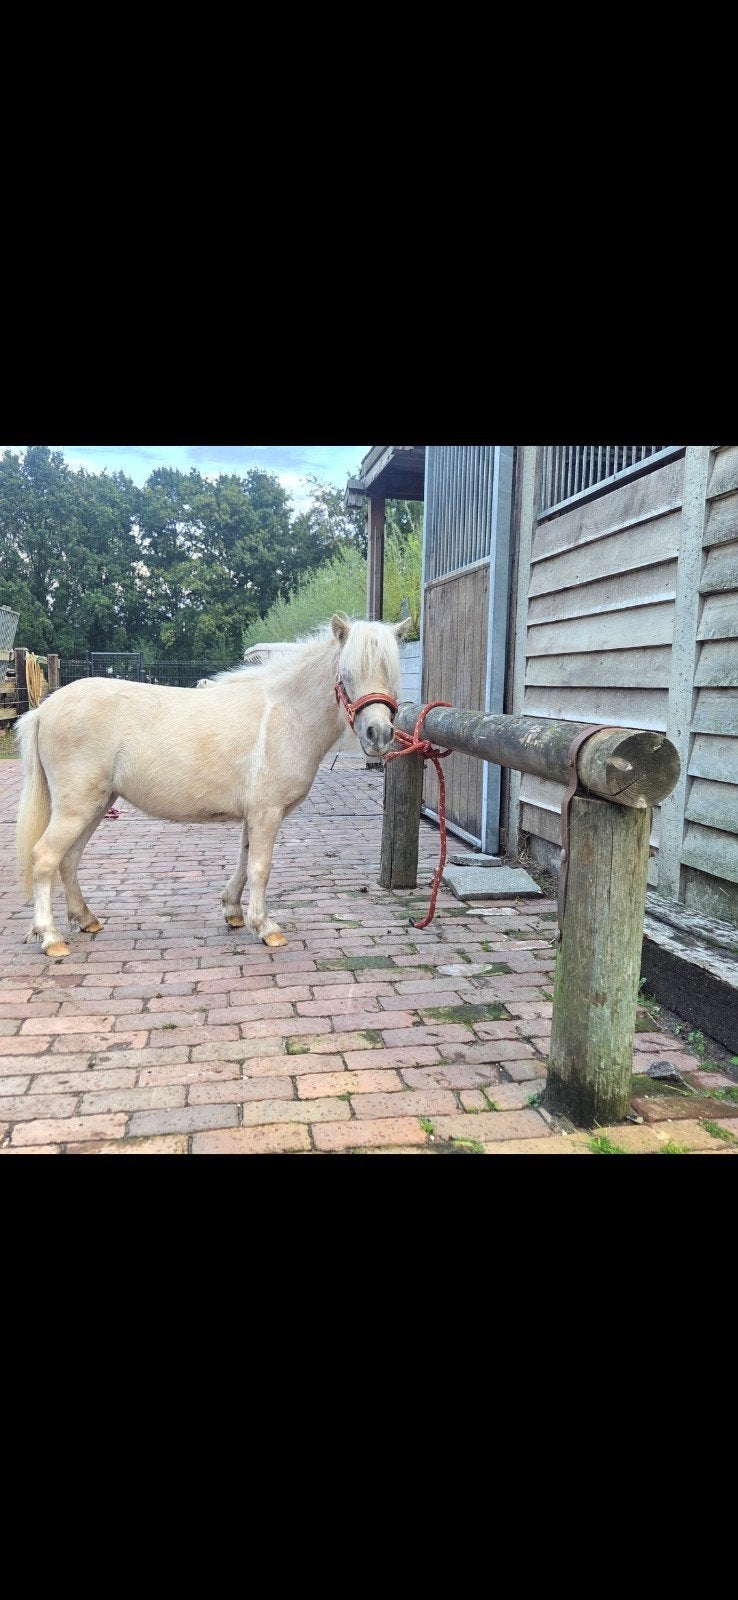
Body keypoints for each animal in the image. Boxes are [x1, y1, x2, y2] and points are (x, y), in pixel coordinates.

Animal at [15, 613, 412, 958]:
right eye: (346, 674)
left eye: (391, 673)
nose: (378, 735)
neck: (285, 714)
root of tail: (44, 709)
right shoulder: (267, 813)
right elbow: (260, 867)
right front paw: (266, 927)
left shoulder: (255, 814)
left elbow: (244, 860)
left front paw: (234, 912)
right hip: (77, 807)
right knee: (45, 858)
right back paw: (51, 938)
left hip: (96, 806)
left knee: (69, 860)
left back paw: (86, 920)